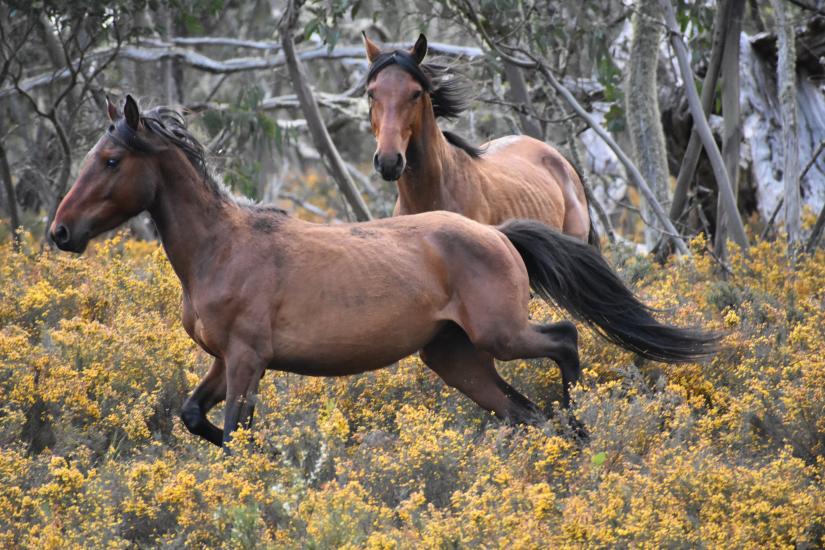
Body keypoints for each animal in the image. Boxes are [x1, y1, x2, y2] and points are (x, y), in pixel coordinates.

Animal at [50, 96, 719, 450]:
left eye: (111, 160)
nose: (61, 232)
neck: (224, 247)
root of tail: (498, 235)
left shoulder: (246, 360)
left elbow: (236, 431)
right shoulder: (223, 360)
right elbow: (196, 417)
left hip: (499, 334)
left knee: (565, 341)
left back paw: (582, 423)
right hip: (454, 357)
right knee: (521, 412)